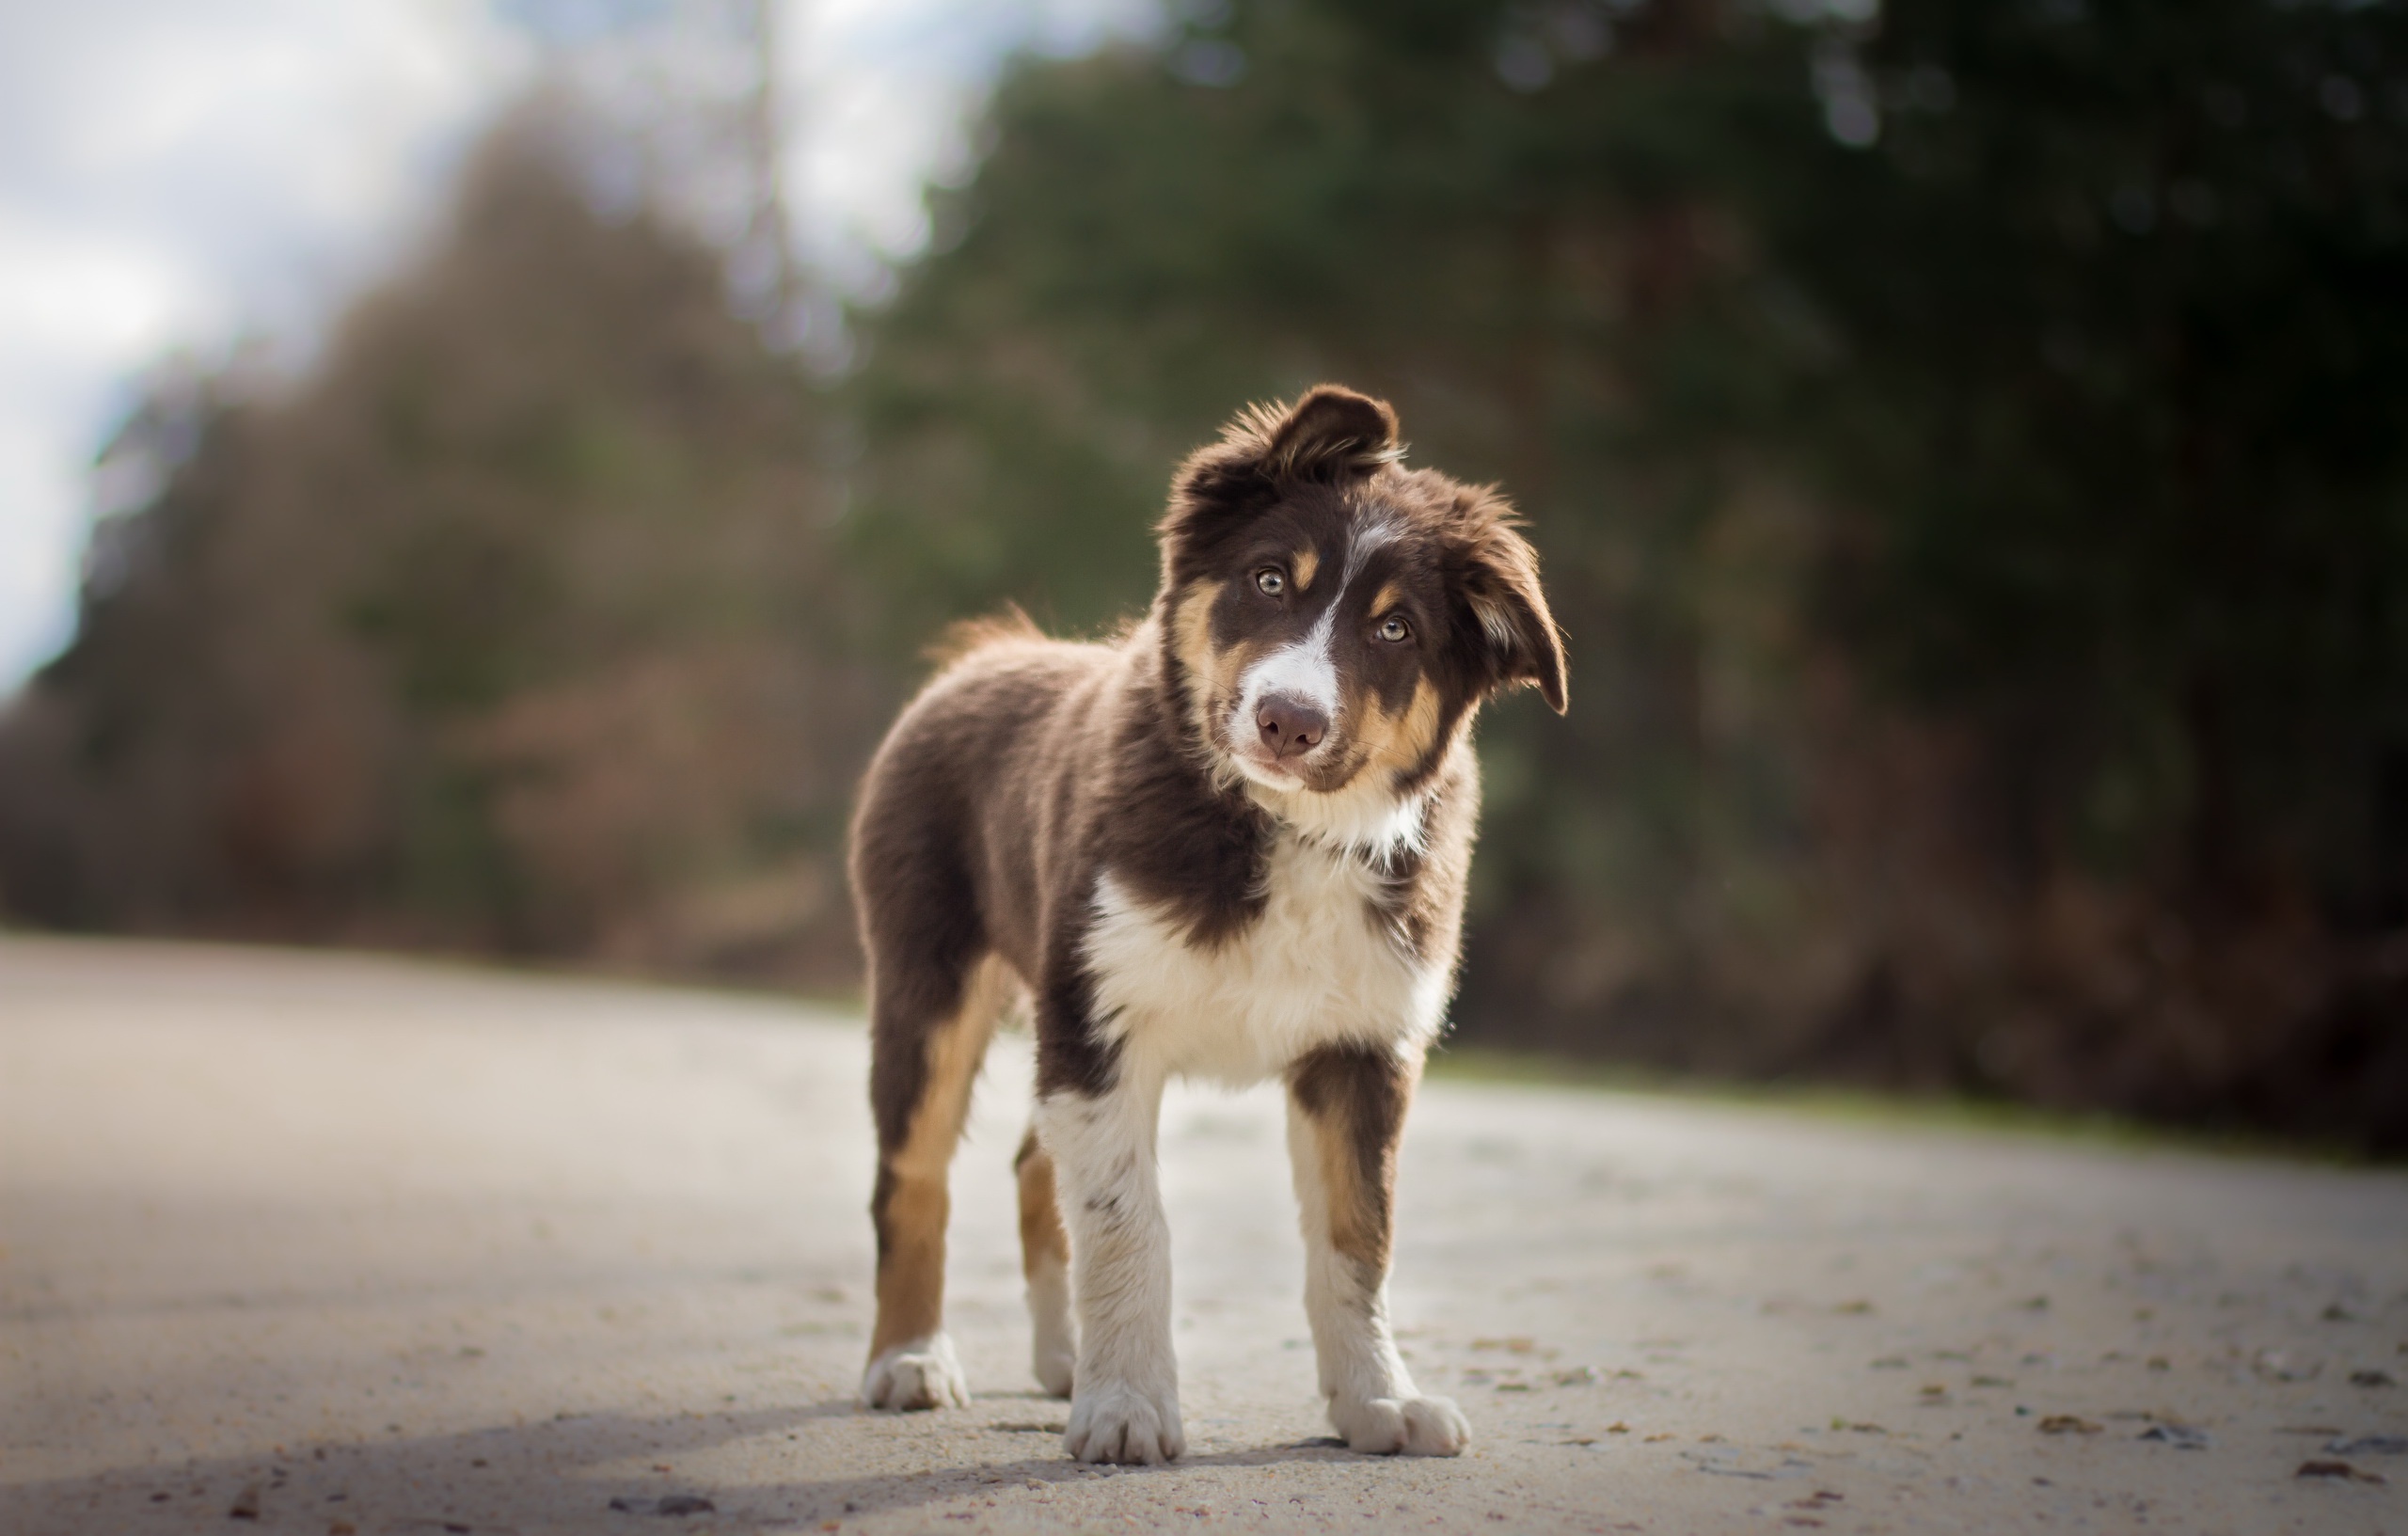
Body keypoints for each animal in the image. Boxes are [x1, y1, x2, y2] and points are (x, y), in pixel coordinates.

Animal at [857, 385, 1570, 1464]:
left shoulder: (1361, 1050)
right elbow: (1126, 1222)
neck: (1282, 828)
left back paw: (1062, 1359)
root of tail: (989, 654)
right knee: (913, 1177)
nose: (1288, 720)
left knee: (1030, 1166)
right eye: (1269, 579)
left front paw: (1379, 1401)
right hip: (927, 980)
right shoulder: (1103, 1020)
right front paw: (1127, 1406)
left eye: (1396, 631)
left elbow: (1357, 1241)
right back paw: (908, 1359)